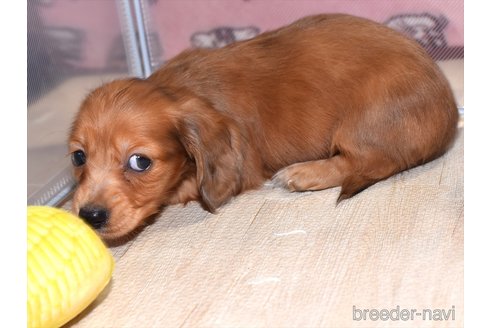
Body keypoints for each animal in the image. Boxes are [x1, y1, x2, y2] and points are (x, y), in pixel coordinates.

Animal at [68, 14, 458, 238]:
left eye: (140, 162)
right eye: (78, 157)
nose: (89, 216)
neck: (182, 87)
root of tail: (451, 115)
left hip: (362, 123)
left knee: (363, 162)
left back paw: (303, 173)